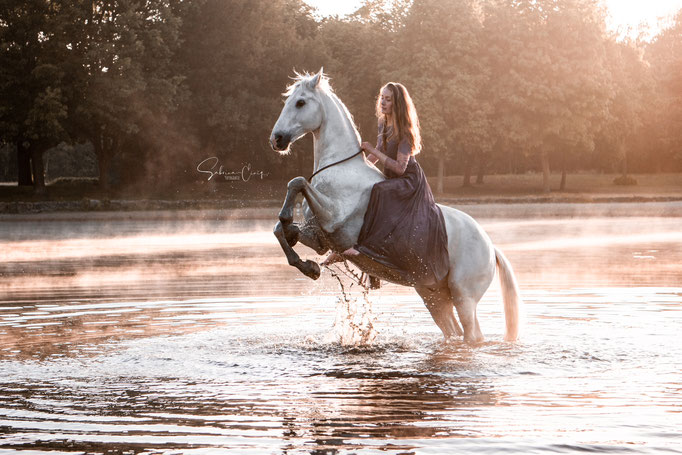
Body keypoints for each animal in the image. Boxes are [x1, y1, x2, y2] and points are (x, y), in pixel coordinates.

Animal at [266, 69, 520, 344]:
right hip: (433, 295)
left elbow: (297, 182)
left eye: (300, 102)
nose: (276, 139)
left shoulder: (334, 218)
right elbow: (282, 230)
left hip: (464, 297)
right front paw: (308, 264)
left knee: (472, 336)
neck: (340, 167)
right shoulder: (321, 239)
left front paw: (288, 221)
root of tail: (491, 248)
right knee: (453, 331)